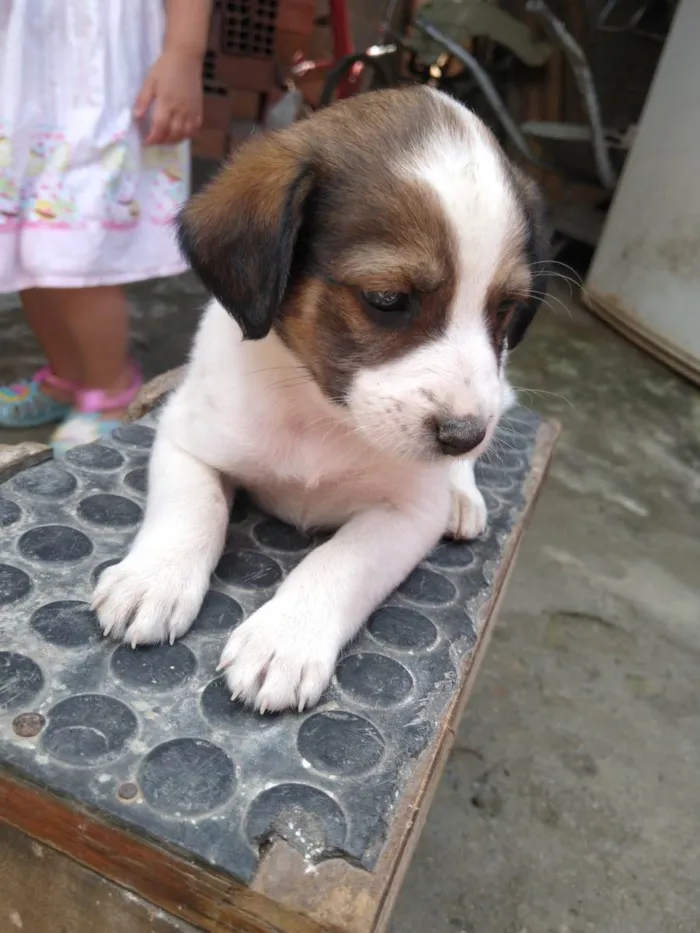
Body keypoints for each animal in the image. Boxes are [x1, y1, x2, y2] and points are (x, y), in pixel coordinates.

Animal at [93, 87, 548, 712]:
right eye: (387, 299)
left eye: (505, 309)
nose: (463, 435)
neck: (319, 413)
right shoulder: (185, 438)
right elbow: (194, 508)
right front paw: (154, 577)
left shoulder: (409, 513)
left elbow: (340, 559)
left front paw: (286, 636)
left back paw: (463, 494)